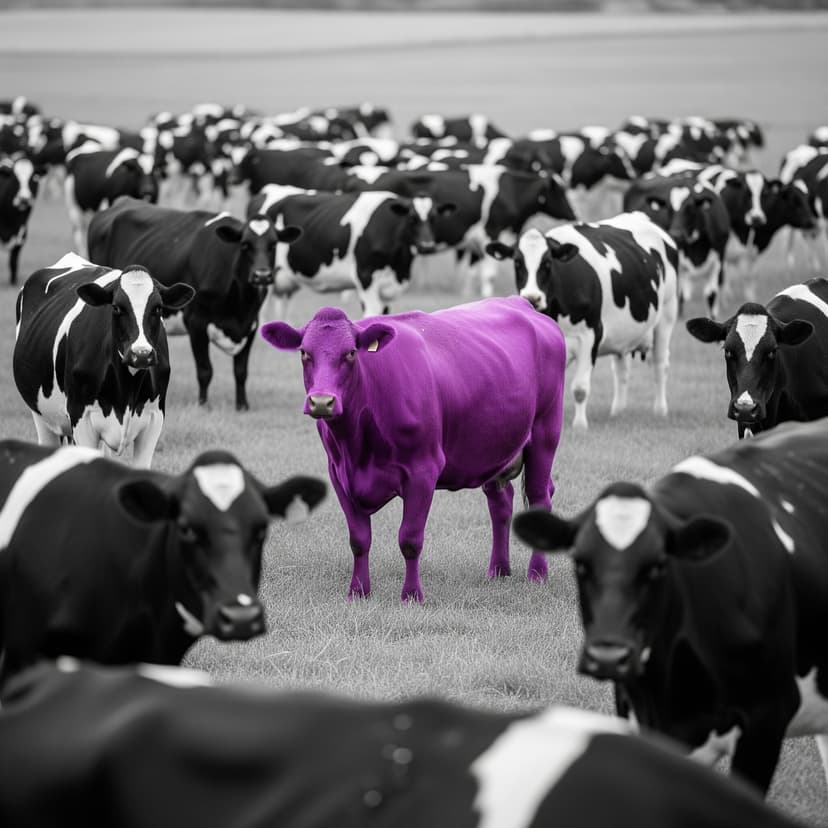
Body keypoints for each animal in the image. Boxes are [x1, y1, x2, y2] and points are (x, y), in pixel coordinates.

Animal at [0, 154, 39, 285]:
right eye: (14, 179)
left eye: (33, 178)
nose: (24, 199)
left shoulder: (21, 236)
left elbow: (13, 262)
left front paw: (13, 282)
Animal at [13, 253, 194, 468]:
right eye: (116, 308)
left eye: (158, 308)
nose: (141, 354)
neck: (127, 392)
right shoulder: (80, 417)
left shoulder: (155, 418)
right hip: (41, 415)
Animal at [87, 196, 302, 411]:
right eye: (244, 245)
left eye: (273, 245)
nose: (262, 275)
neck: (239, 305)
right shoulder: (197, 323)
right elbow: (205, 370)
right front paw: (203, 404)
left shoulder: (251, 325)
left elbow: (241, 371)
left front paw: (242, 405)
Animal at [260, 296, 566, 603]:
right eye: (304, 352)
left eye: (350, 353)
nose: (322, 401)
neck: (358, 445)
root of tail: (522, 304)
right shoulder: (338, 473)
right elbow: (359, 539)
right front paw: (358, 591)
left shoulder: (423, 470)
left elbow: (409, 538)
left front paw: (411, 595)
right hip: (493, 447)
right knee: (500, 502)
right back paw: (499, 570)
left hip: (545, 433)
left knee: (539, 497)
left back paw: (537, 574)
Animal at [486, 212, 679, 431]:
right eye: (517, 263)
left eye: (548, 263)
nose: (532, 298)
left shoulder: (591, 334)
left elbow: (580, 388)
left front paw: (579, 426)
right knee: (621, 370)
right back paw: (617, 411)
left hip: (667, 314)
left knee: (660, 363)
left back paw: (660, 411)